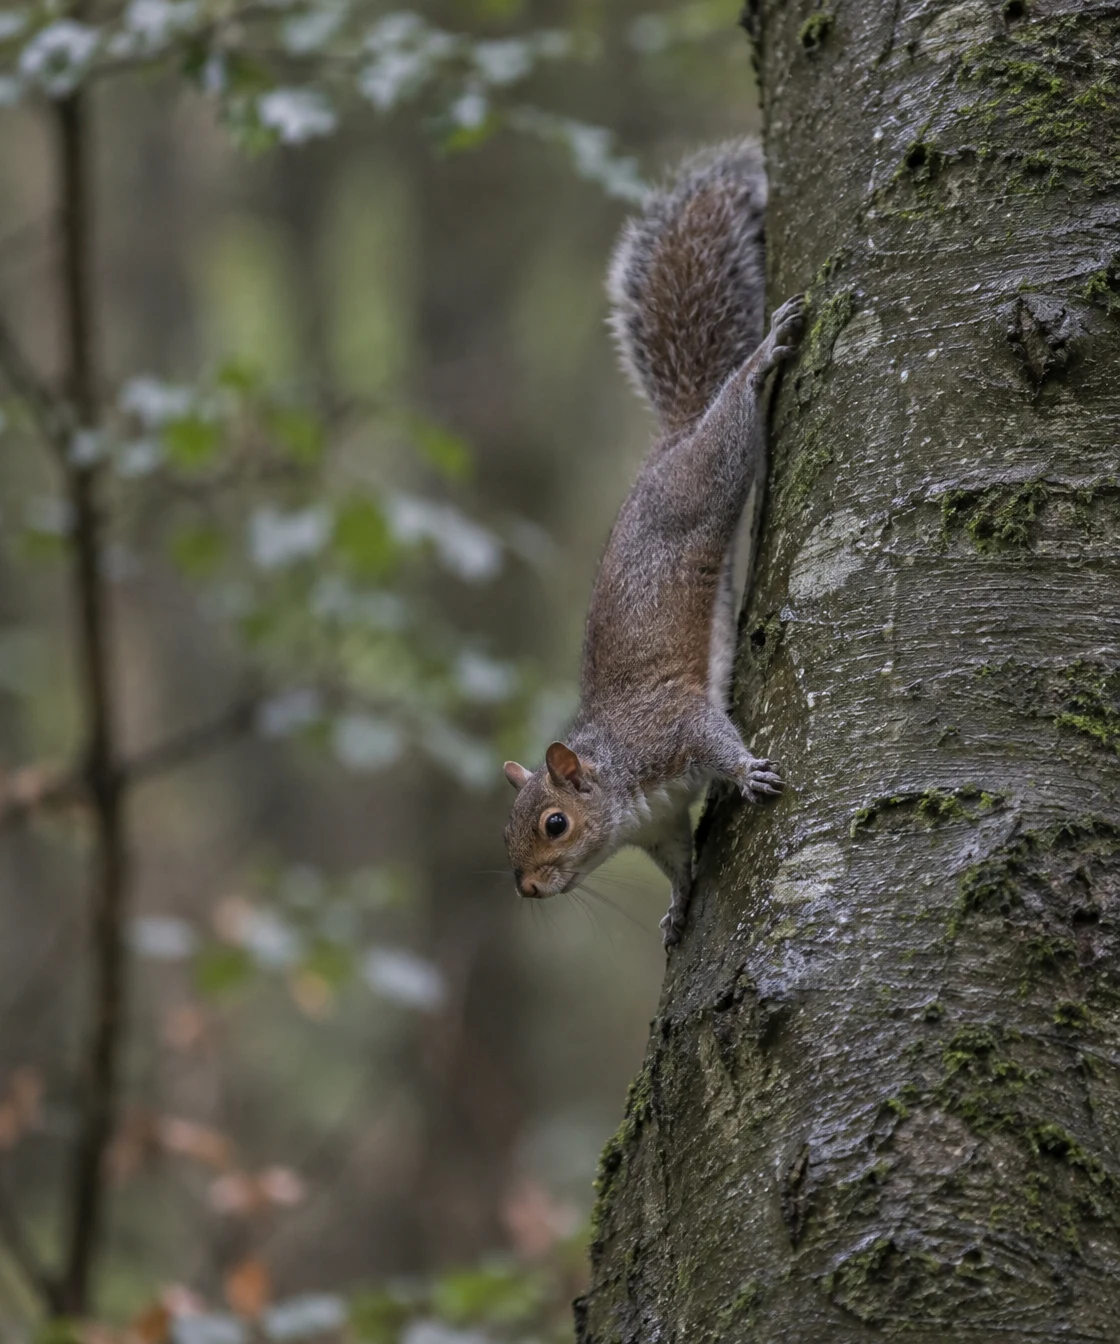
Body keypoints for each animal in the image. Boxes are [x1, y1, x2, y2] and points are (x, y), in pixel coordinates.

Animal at [502, 141, 805, 949]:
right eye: (505, 830)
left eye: (555, 823)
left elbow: (717, 739)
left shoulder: (673, 727)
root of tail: (674, 434)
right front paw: (677, 907)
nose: (526, 888)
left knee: (730, 419)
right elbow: (677, 863)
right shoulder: (661, 827)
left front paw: (749, 773)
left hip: (706, 474)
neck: (622, 793)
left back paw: (760, 359)